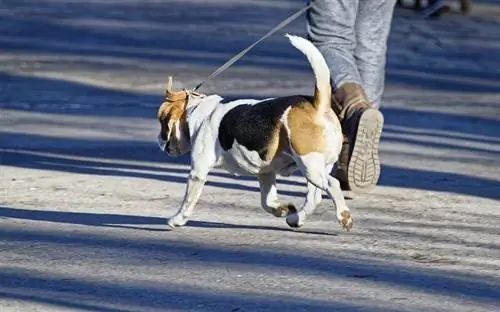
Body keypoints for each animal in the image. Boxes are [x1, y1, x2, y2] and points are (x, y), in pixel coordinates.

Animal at [156, 35, 352, 232]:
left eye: (161, 121)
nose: (158, 140)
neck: (196, 109)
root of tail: (317, 105)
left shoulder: (198, 171)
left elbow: (188, 200)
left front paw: (177, 219)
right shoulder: (266, 173)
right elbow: (267, 202)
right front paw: (283, 209)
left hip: (310, 166)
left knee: (332, 184)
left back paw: (344, 216)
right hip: (316, 169)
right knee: (314, 197)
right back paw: (295, 218)